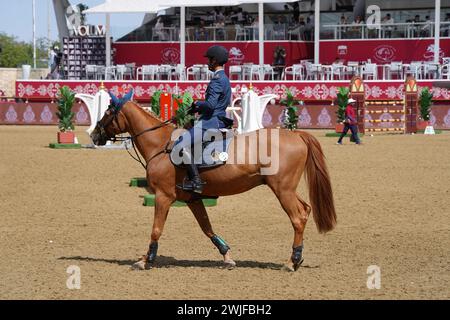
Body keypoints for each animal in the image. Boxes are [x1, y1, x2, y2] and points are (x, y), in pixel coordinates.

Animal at [91, 100, 336, 270]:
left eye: (107, 113)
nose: (94, 135)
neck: (160, 145)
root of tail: (297, 135)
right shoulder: (193, 199)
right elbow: (207, 227)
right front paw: (227, 255)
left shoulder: (163, 197)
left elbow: (156, 229)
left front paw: (145, 259)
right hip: (287, 189)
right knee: (306, 209)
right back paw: (297, 259)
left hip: (282, 190)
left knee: (298, 217)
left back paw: (292, 261)